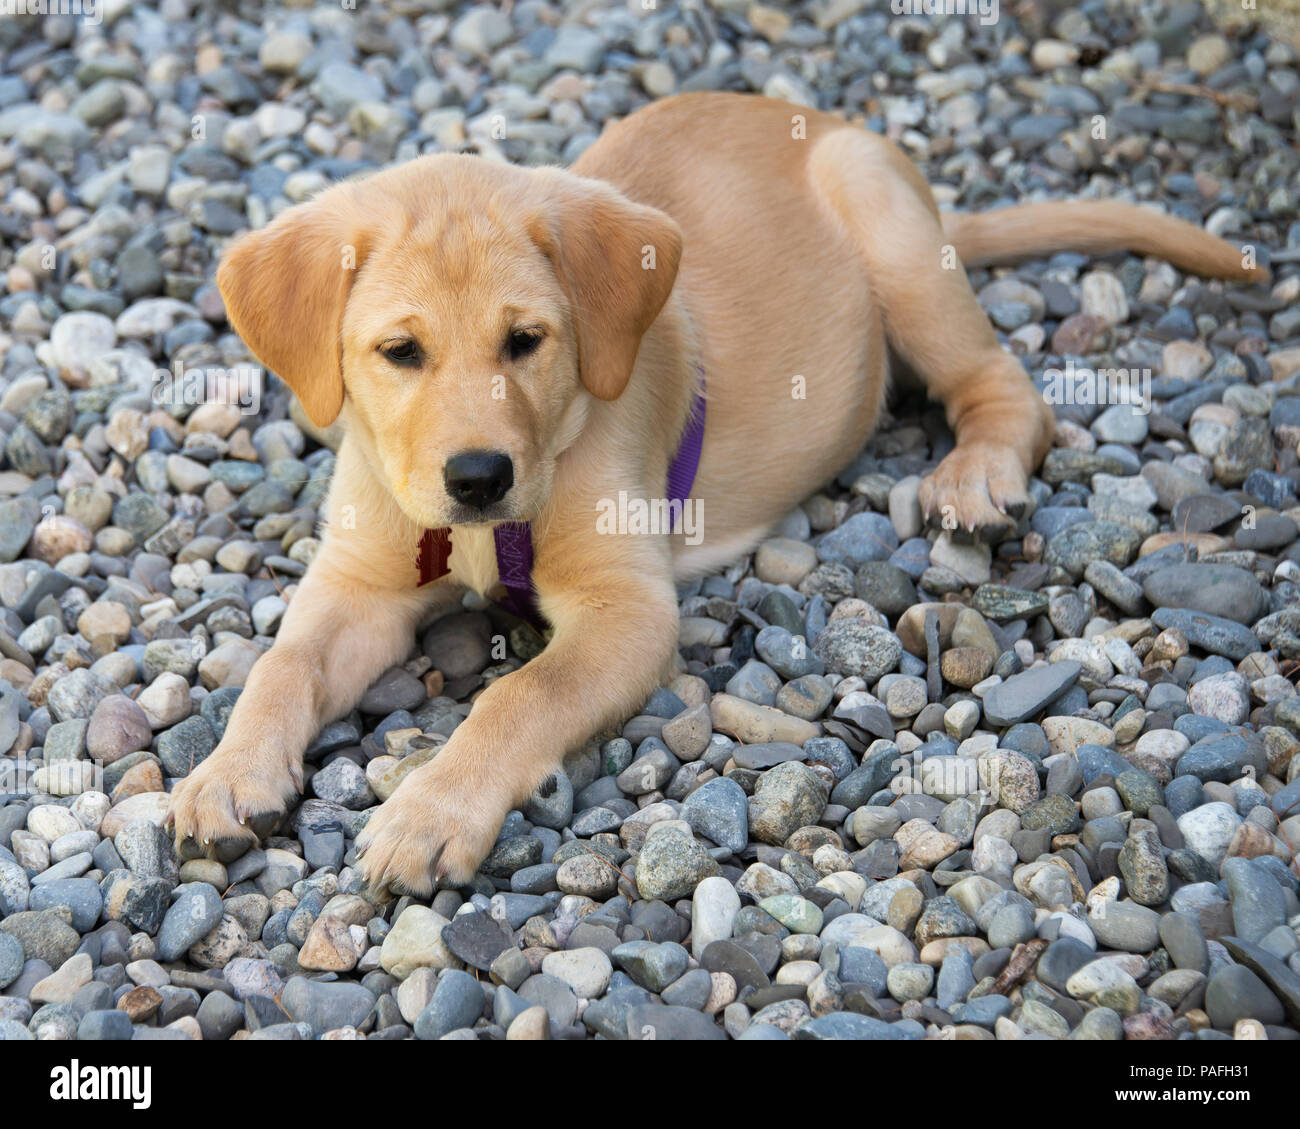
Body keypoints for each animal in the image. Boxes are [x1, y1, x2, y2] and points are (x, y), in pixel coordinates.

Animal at [167, 92, 1263, 894]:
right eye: (399, 353)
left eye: (526, 341)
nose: (478, 477)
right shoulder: (358, 584)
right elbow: (280, 667)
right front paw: (226, 776)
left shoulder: (628, 609)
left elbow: (521, 695)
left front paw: (432, 812)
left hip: (897, 245)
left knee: (1005, 387)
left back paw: (978, 475)